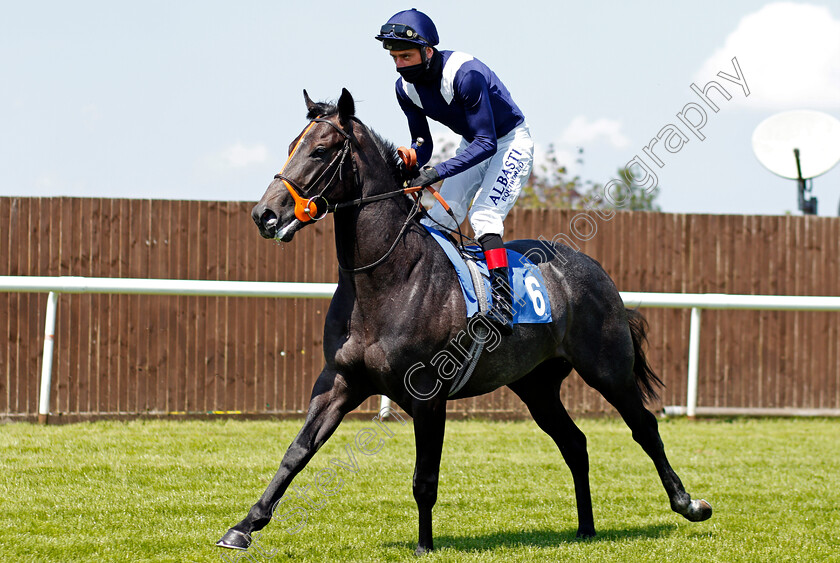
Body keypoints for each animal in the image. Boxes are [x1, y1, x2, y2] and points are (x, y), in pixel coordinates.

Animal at [215, 88, 708, 556]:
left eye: (319, 150)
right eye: (291, 146)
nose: (265, 214)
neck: (388, 277)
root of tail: (592, 267)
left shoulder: (428, 394)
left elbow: (424, 477)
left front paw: (424, 545)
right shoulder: (339, 380)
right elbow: (297, 452)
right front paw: (243, 527)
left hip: (608, 369)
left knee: (644, 427)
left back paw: (688, 503)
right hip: (536, 385)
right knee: (575, 444)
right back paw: (586, 528)